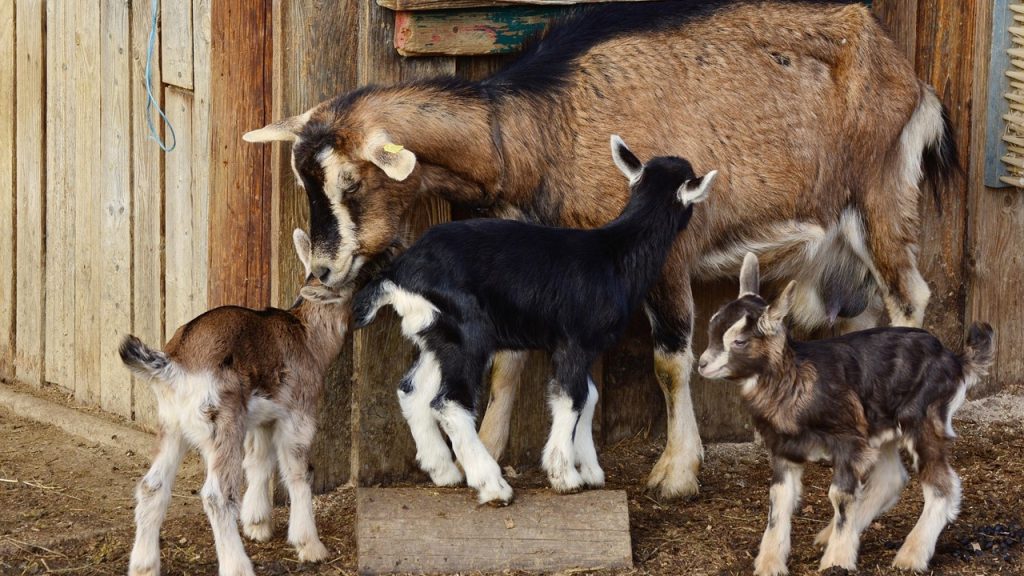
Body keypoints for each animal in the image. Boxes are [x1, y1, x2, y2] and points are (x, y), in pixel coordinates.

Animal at [120, 229, 347, 576]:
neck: (307, 336)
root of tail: (174, 365)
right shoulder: (299, 414)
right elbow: (298, 472)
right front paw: (310, 545)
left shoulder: (262, 418)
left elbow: (259, 461)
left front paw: (258, 524)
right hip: (222, 424)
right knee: (217, 496)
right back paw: (237, 566)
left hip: (172, 425)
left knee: (151, 486)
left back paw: (144, 566)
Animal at [350, 137, 715, 503]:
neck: (615, 253)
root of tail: (398, 274)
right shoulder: (575, 342)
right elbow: (572, 398)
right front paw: (564, 475)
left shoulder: (577, 346)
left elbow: (589, 397)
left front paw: (590, 470)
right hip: (467, 335)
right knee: (449, 402)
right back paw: (491, 485)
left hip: (436, 335)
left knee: (412, 390)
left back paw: (444, 471)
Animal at [697, 253, 994, 575]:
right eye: (712, 330)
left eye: (739, 341)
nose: (702, 364)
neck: (796, 380)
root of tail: (955, 360)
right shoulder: (785, 449)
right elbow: (779, 499)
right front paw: (769, 563)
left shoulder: (848, 442)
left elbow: (839, 496)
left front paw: (837, 560)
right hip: (880, 427)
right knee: (891, 478)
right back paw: (833, 536)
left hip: (923, 418)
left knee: (943, 486)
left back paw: (911, 555)